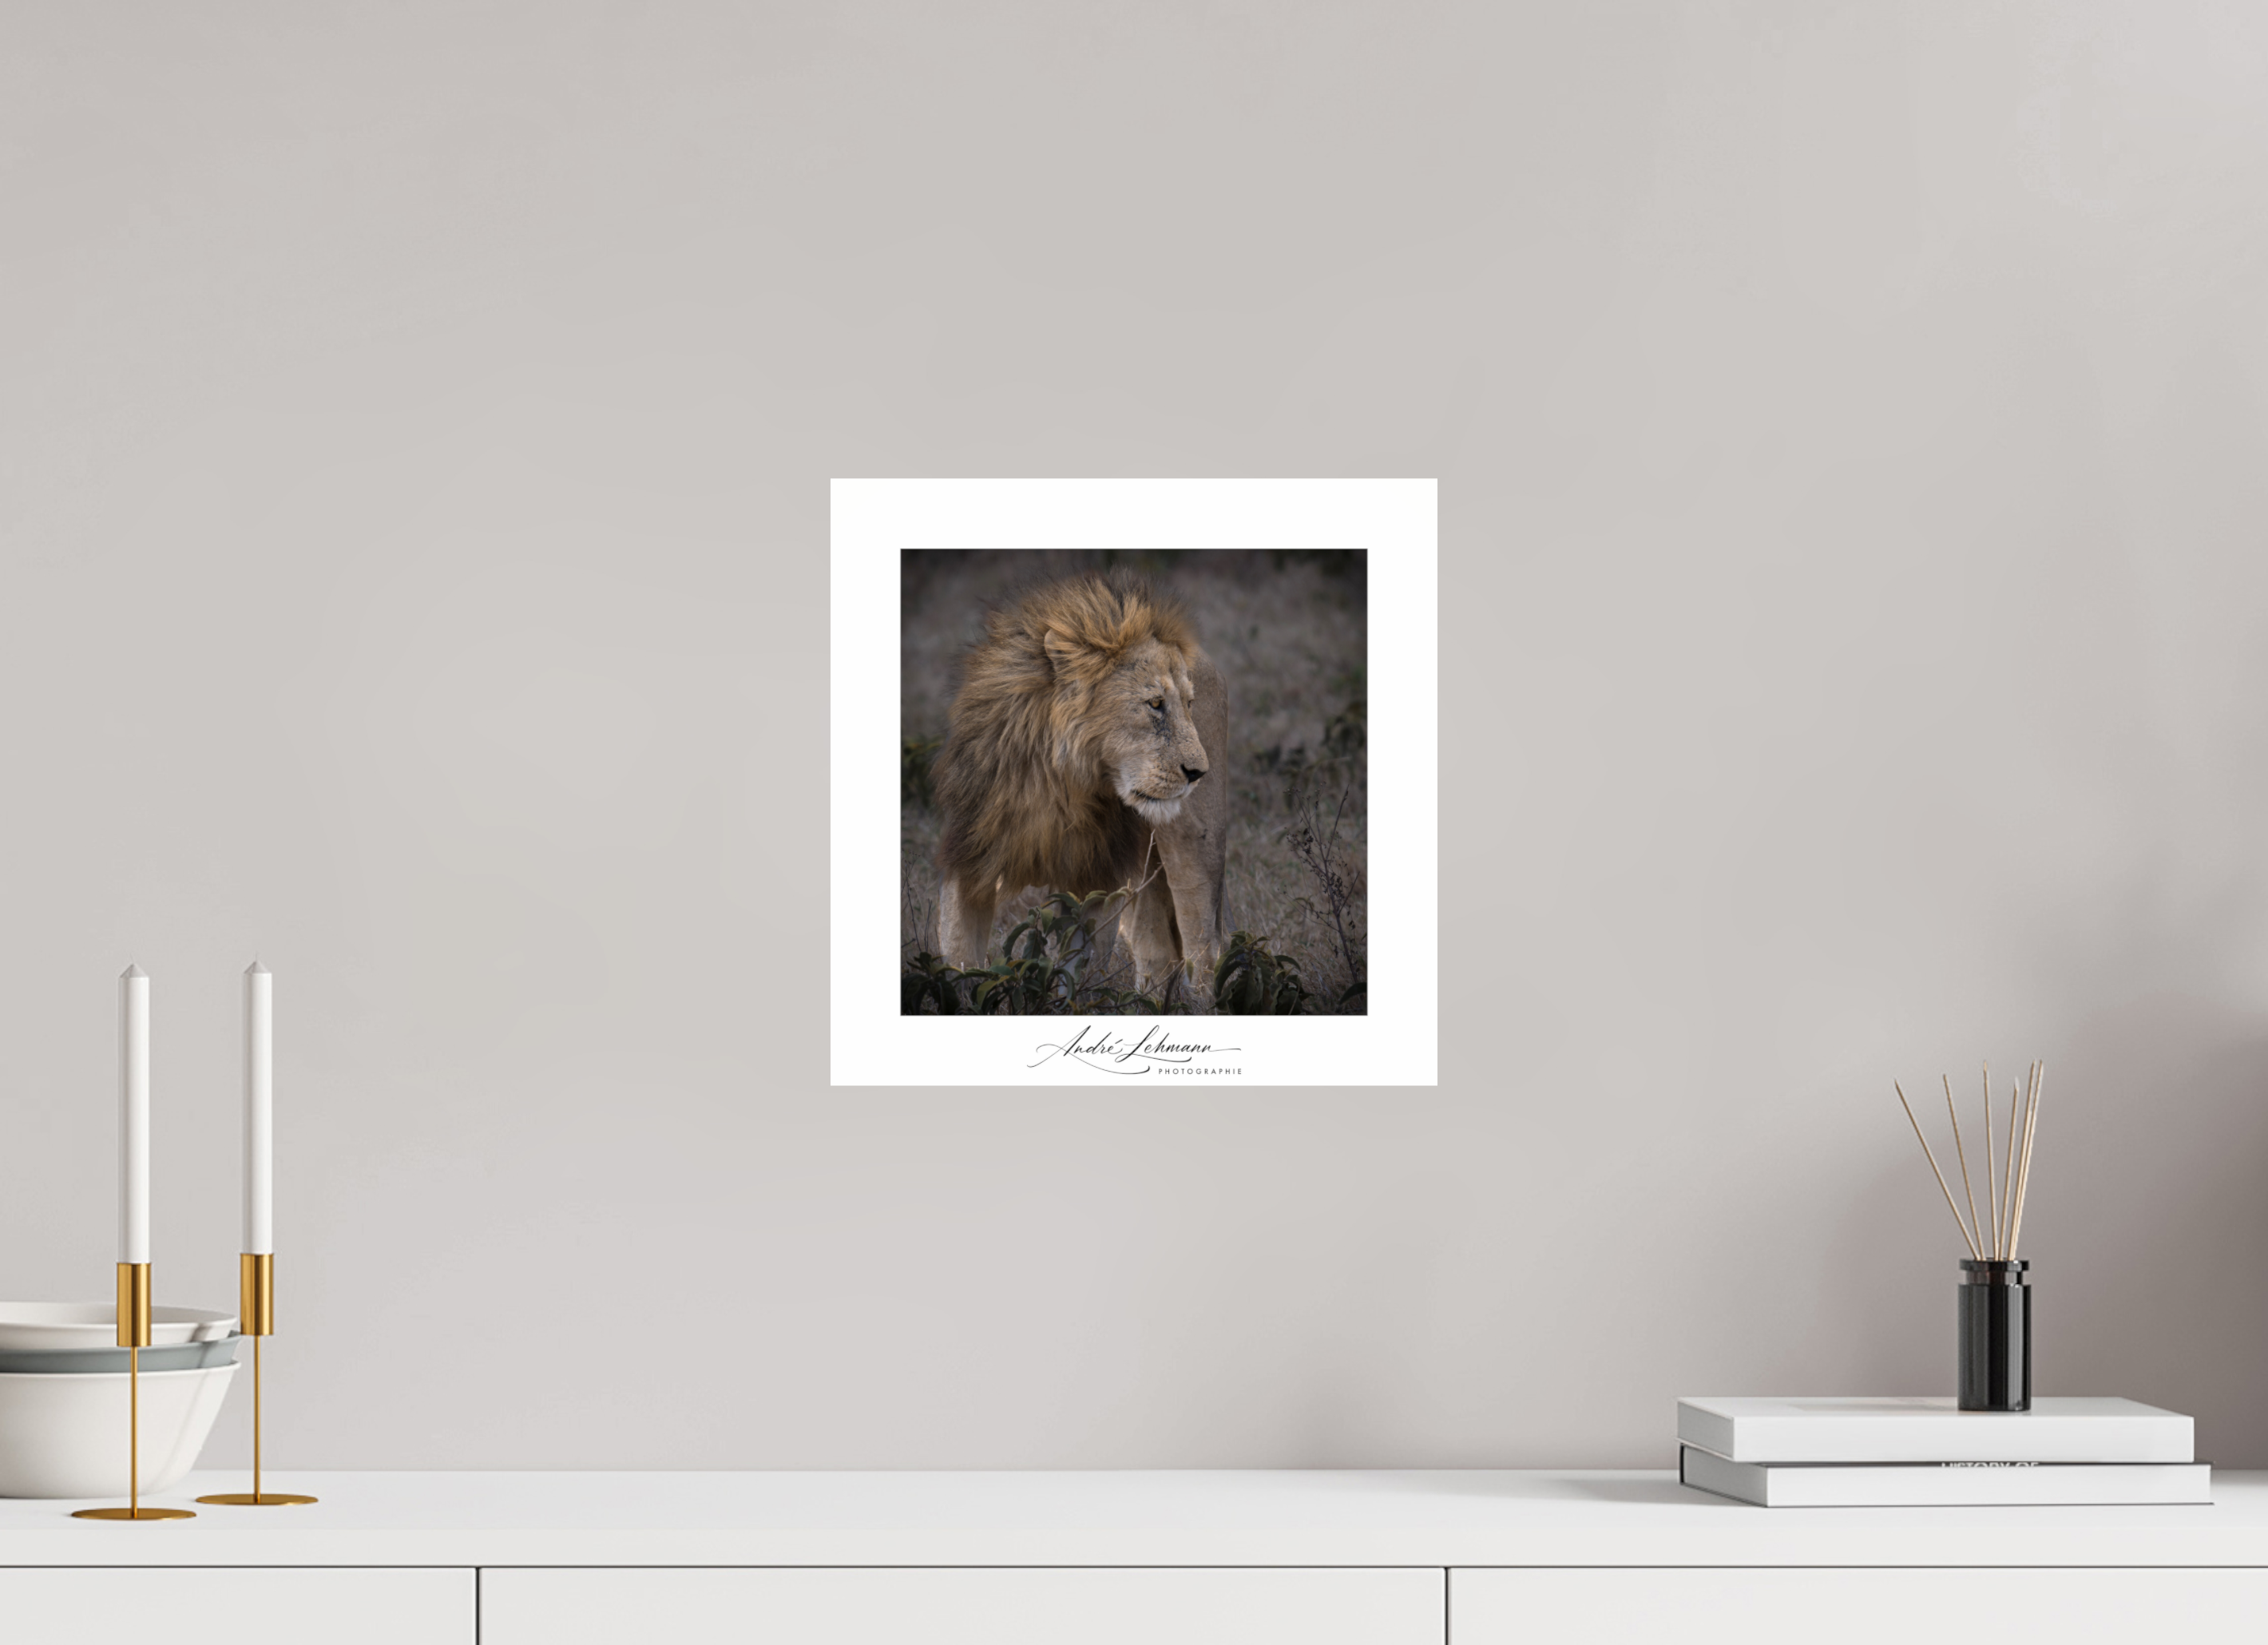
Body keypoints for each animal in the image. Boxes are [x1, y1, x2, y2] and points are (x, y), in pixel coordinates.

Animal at [932, 571, 1228, 1006]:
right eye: (1155, 704)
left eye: (1188, 705)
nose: (1198, 772)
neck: (1057, 785)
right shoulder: (972, 854)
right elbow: (958, 959)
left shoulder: (1095, 874)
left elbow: (1075, 966)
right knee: (1157, 950)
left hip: (1195, 841)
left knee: (1202, 942)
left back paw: (1200, 1005)